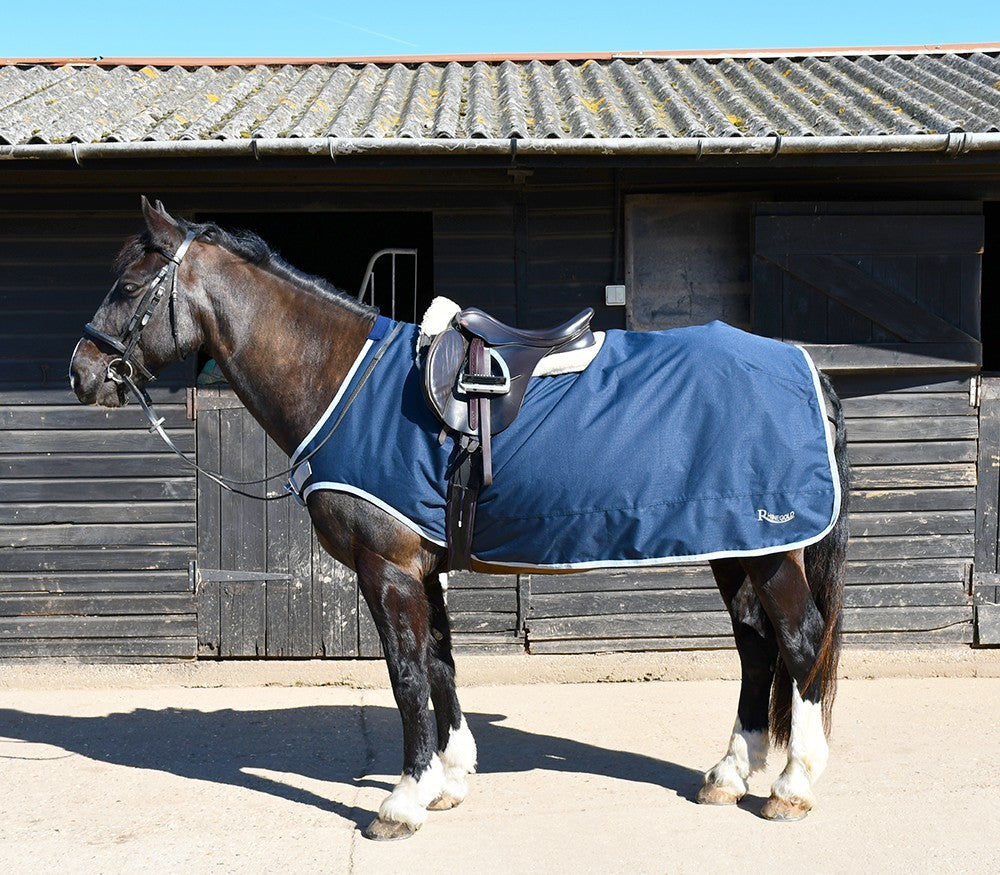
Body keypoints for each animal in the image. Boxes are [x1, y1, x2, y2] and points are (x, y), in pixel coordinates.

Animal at [70, 198, 850, 840]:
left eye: (129, 287)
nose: (82, 372)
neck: (343, 382)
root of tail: (805, 367)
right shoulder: (422, 570)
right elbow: (440, 664)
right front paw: (447, 780)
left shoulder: (387, 570)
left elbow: (406, 675)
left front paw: (402, 801)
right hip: (738, 547)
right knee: (756, 645)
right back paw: (729, 773)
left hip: (769, 549)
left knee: (801, 640)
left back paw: (792, 785)